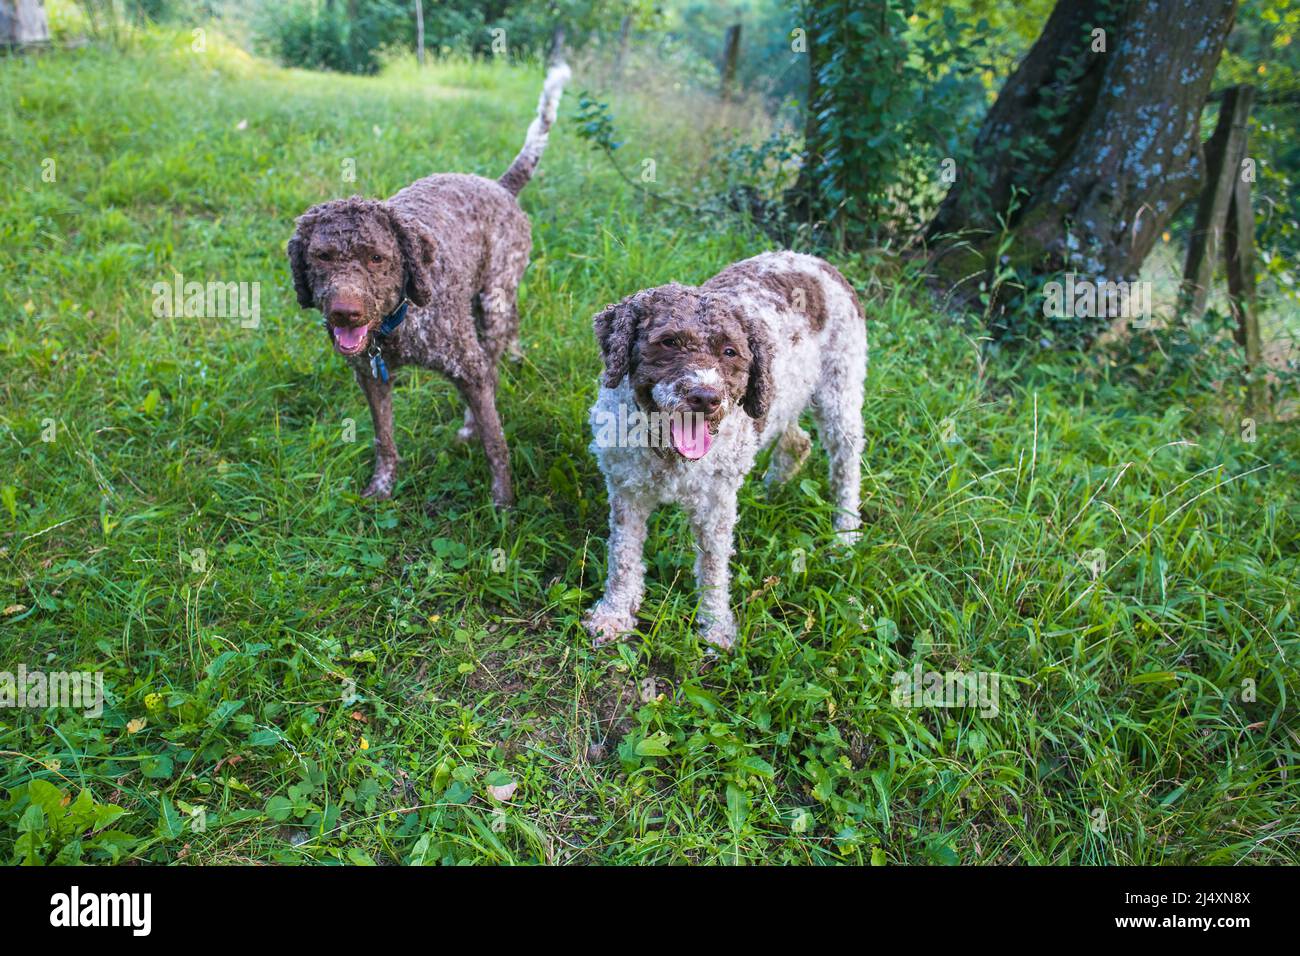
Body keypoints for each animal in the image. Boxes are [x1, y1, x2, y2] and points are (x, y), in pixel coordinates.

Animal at [585, 251, 868, 647]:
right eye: (668, 342)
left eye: (730, 352)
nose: (706, 397)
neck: (668, 455)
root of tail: (817, 261)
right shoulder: (627, 490)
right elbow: (623, 557)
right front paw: (614, 614)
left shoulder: (714, 504)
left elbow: (713, 567)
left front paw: (715, 626)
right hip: (782, 398)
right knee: (797, 441)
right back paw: (772, 491)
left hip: (839, 392)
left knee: (846, 464)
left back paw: (845, 534)